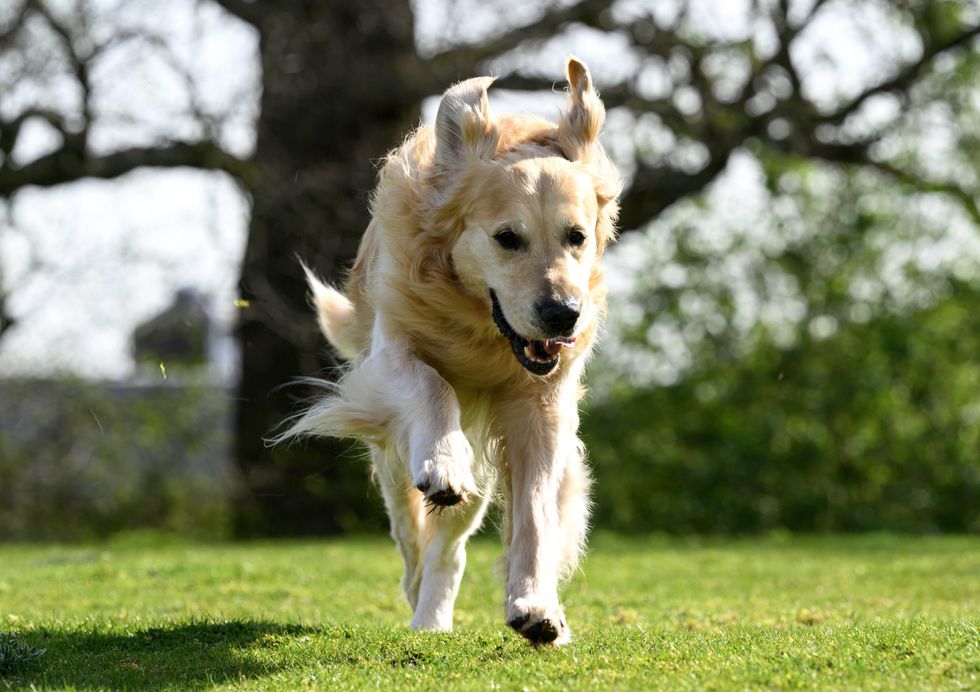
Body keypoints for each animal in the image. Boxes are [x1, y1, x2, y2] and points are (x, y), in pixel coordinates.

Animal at [282, 56, 620, 648]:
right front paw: (442, 462)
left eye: (576, 236)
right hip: (392, 456)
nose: (563, 315)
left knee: (451, 547)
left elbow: (536, 508)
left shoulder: (541, 406)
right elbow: (432, 385)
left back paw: (436, 611)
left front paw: (536, 604)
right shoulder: (389, 359)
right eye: (507, 238)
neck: (480, 327)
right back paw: (421, 595)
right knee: (410, 531)